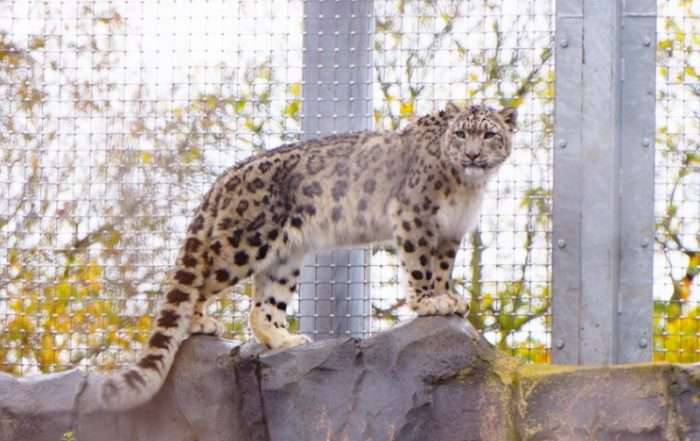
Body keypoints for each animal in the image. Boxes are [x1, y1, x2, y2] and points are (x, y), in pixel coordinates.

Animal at [99, 102, 517, 411]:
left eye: (489, 134)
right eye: (461, 133)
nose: (472, 154)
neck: (467, 187)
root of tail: (222, 180)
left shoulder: (450, 231)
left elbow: (442, 268)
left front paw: (450, 298)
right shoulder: (415, 217)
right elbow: (420, 267)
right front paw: (430, 302)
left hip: (285, 260)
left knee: (263, 306)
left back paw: (287, 341)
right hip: (243, 244)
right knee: (200, 279)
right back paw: (202, 322)